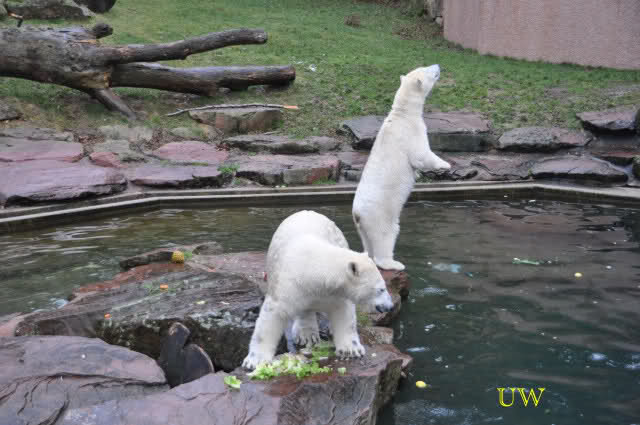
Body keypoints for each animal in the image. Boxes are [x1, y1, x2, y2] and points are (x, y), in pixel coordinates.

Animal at [241, 210, 394, 370]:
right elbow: (272, 315)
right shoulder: (289, 286)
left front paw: (351, 349)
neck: (312, 267)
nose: (389, 307)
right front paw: (254, 361)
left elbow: (344, 314)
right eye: (381, 289)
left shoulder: (337, 293)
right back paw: (307, 334)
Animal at [352, 64, 450, 271]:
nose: (438, 65)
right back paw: (394, 263)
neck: (402, 114)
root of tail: (357, 214)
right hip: (380, 215)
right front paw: (445, 165)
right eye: (427, 69)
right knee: (386, 235)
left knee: (367, 243)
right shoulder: (411, 132)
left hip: (362, 227)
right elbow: (421, 155)